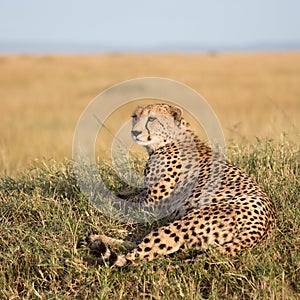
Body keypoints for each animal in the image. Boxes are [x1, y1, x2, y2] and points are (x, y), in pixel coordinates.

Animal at [83, 103, 276, 268]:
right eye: (135, 116)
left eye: (151, 118)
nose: (135, 132)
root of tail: (262, 226)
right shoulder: (148, 196)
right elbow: (135, 192)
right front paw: (119, 192)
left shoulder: (152, 206)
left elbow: (123, 204)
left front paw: (100, 196)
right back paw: (96, 239)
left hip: (185, 224)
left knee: (135, 258)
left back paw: (90, 258)